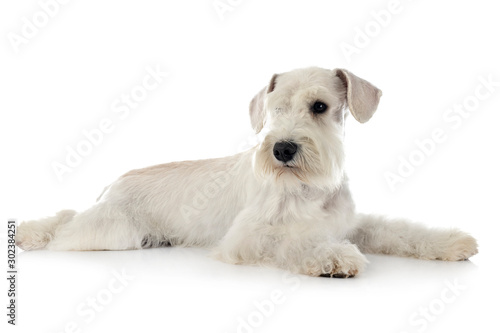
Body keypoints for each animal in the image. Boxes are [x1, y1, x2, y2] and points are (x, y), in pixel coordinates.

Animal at [15, 66, 476, 276]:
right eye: (276, 108)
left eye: (320, 106)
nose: (283, 148)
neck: (308, 187)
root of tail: (113, 182)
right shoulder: (247, 238)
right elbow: (293, 242)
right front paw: (333, 257)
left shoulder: (351, 223)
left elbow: (396, 230)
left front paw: (451, 242)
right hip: (114, 230)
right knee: (64, 225)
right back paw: (28, 233)